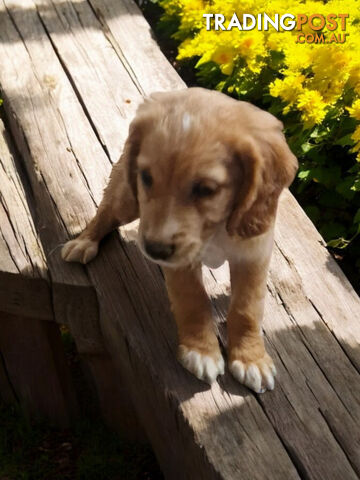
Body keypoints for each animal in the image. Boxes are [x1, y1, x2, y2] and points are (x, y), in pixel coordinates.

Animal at [62, 88, 298, 392]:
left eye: (206, 190)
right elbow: (192, 298)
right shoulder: (179, 259)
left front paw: (251, 359)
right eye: (146, 177)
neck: (214, 230)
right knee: (105, 212)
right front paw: (202, 351)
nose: (153, 250)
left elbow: (247, 308)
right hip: (126, 200)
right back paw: (84, 242)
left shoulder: (253, 254)